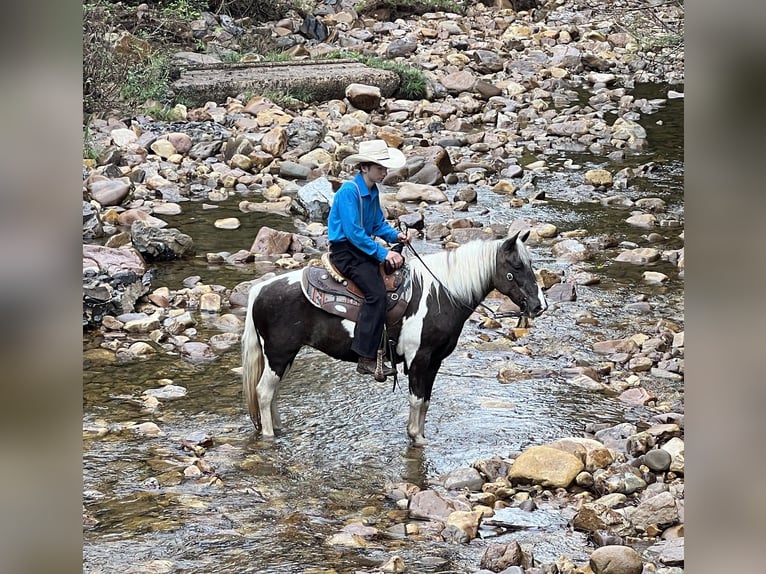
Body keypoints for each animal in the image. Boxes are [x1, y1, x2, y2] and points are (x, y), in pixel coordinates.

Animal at [243, 232, 548, 448]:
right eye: (517, 266)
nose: (539, 306)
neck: (440, 295)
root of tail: (260, 289)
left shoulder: (435, 361)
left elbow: (425, 401)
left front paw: (420, 436)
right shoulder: (419, 358)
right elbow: (416, 399)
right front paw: (416, 437)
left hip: (285, 356)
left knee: (273, 394)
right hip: (278, 354)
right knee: (264, 392)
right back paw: (269, 436)